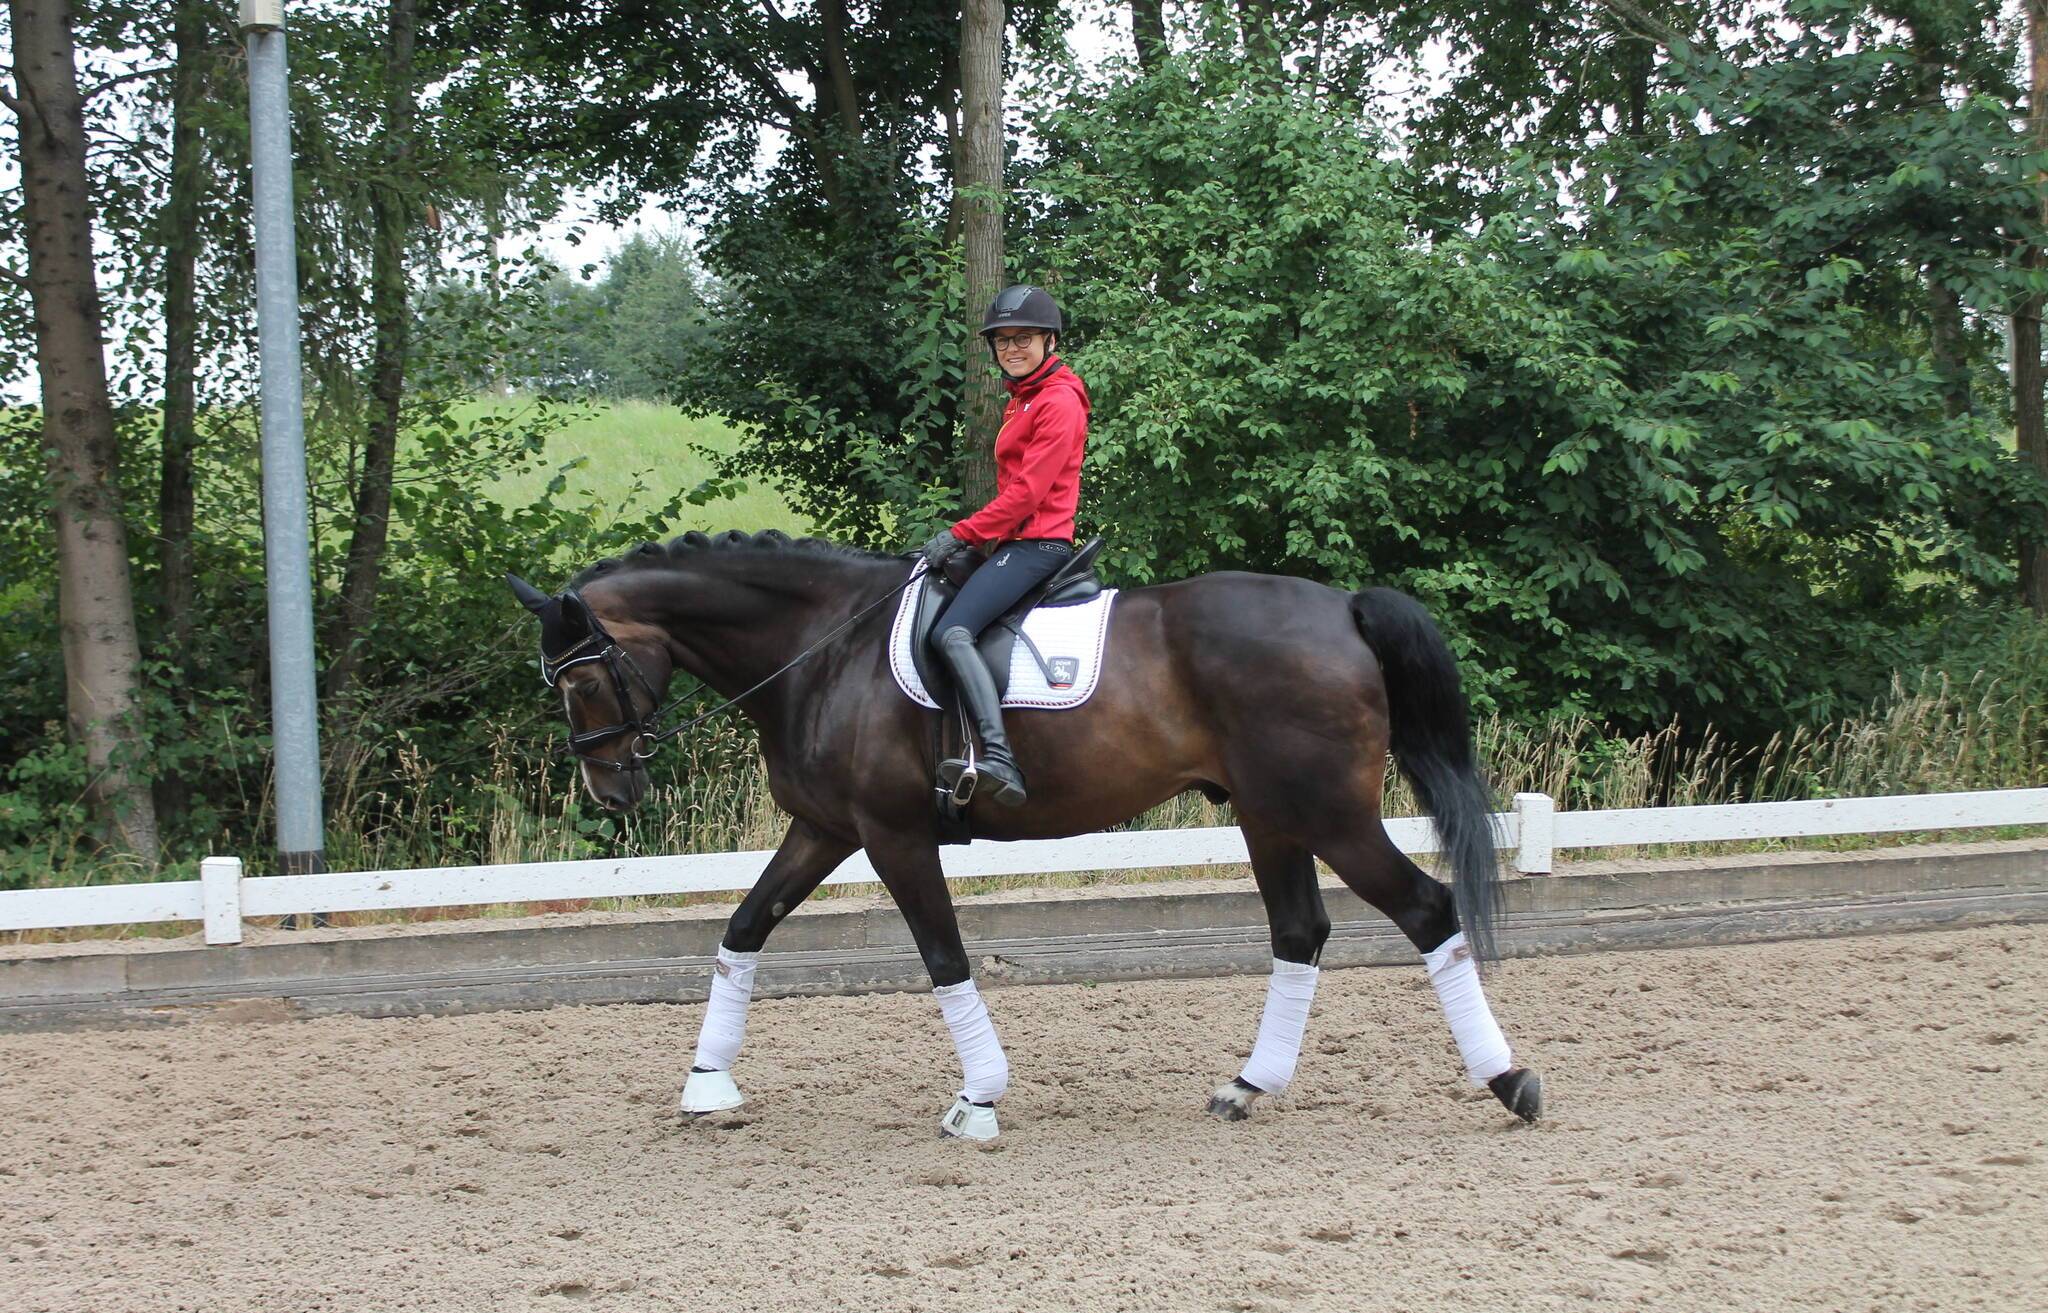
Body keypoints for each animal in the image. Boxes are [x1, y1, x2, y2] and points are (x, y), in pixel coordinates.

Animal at [507, 528, 1540, 1138]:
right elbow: (743, 929)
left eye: (579, 677)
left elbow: (942, 956)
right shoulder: (824, 828)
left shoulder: (892, 835)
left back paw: (1510, 1082)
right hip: (1269, 816)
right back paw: (1247, 1086)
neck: (823, 646)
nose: (609, 790)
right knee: (1299, 932)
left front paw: (978, 1097)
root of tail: (1343, 609)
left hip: (1328, 813)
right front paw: (705, 1083)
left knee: (1426, 908)